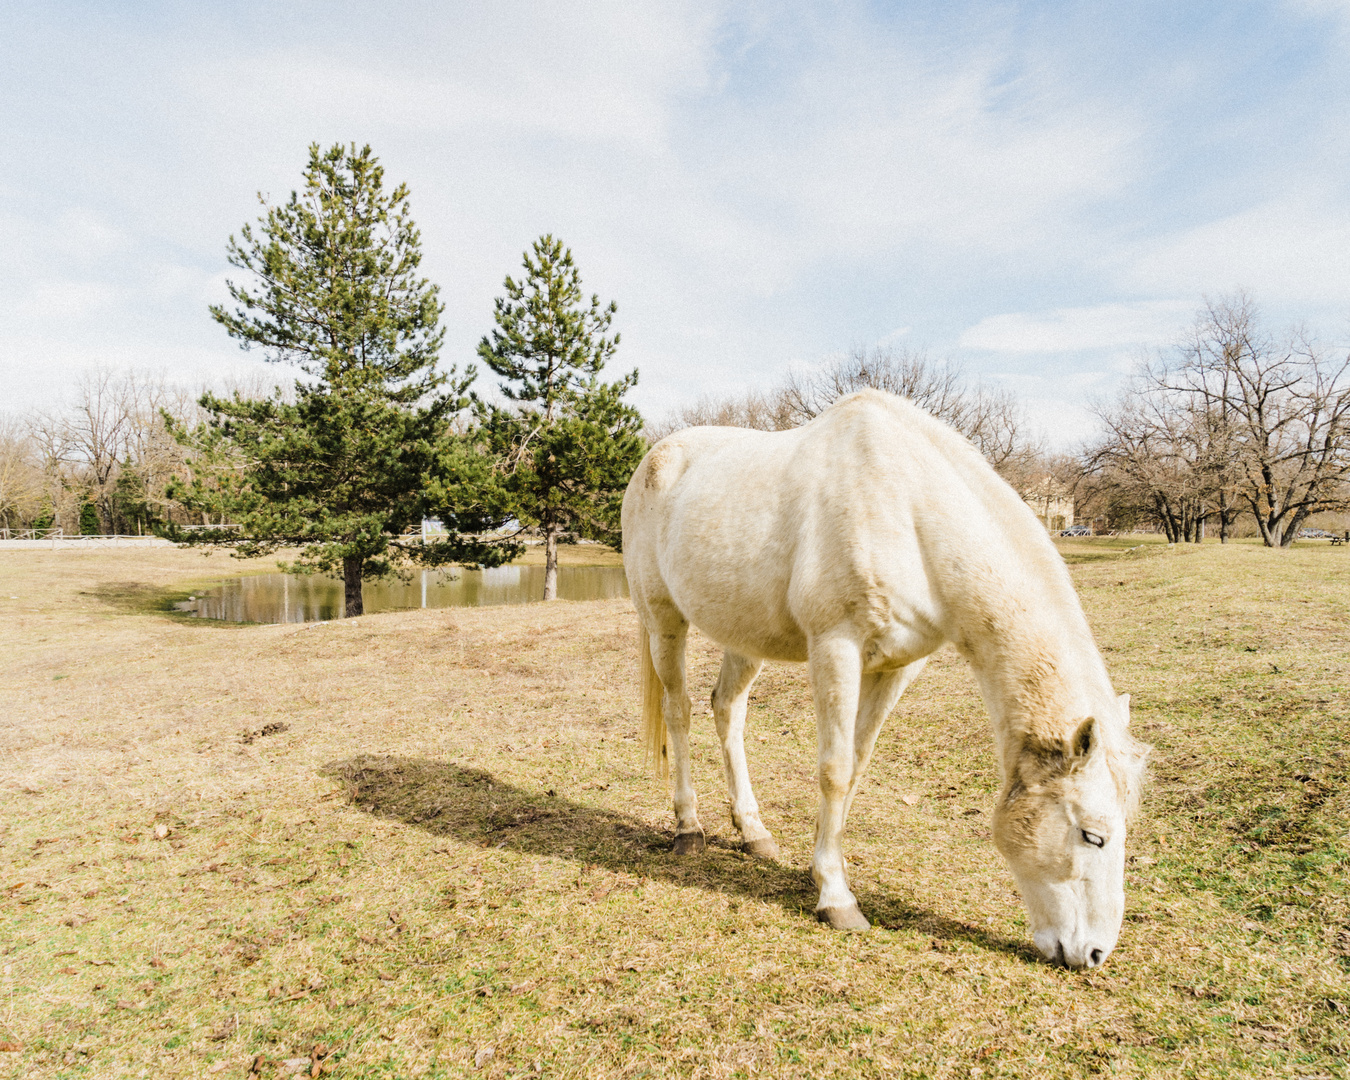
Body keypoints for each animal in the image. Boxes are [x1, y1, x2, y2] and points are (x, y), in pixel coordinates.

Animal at [621, 388, 1150, 972]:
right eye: (1092, 836)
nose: (1094, 953)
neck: (908, 510)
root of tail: (656, 456)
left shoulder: (898, 667)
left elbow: (855, 766)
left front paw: (817, 870)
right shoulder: (836, 648)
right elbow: (833, 770)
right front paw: (836, 900)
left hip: (745, 634)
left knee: (727, 710)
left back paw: (752, 831)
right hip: (664, 619)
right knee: (679, 712)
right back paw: (688, 828)